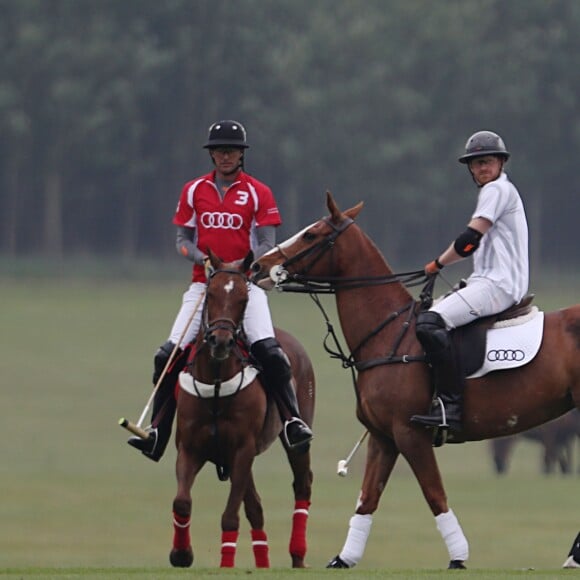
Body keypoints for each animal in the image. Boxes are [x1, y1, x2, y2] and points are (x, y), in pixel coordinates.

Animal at [170, 249, 314, 568]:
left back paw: (297, 555)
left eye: (244, 299)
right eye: (210, 293)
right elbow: (182, 501)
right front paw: (181, 554)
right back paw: (263, 563)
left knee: (302, 483)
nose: (221, 341)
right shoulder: (190, 448)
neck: (215, 380)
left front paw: (226, 564)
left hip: (293, 439)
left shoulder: (242, 449)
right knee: (255, 506)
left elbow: (230, 517)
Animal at [250, 193, 580, 568]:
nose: (257, 266)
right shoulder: (383, 436)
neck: (389, 333)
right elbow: (367, 499)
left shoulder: (410, 433)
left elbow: (434, 494)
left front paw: (458, 558)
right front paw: (344, 558)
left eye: (311, 234)